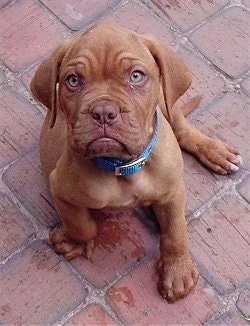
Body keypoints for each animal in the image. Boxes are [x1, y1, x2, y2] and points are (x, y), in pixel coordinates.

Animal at [29, 22, 242, 304]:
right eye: (73, 80)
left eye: (136, 76)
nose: (103, 112)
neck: (124, 166)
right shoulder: (60, 188)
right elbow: (82, 225)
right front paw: (74, 241)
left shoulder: (173, 192)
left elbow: (175, 231)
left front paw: (177, 270)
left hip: (166, 100)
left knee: (182, 129)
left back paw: (215, 151)